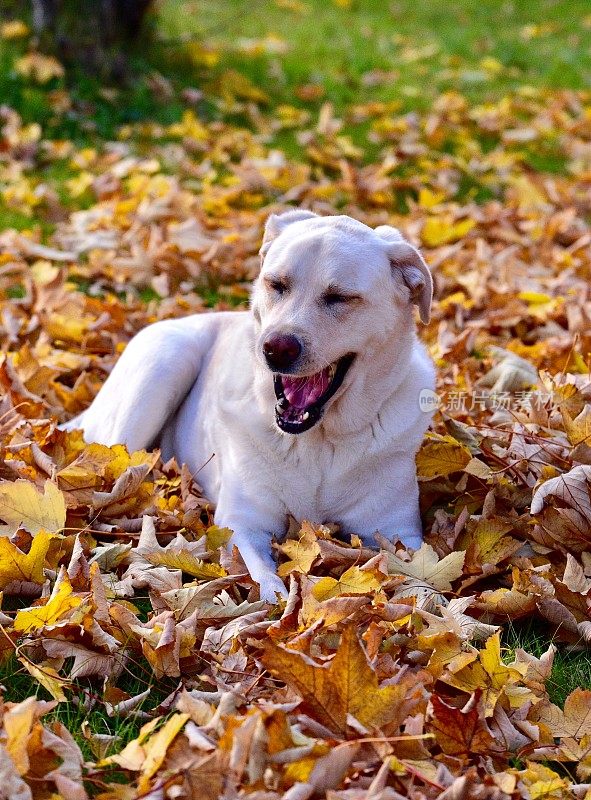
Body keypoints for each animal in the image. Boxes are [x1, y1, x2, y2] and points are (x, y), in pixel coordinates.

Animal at [67, 212, 438, 600]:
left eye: (339, 297)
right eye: (277, 284)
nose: (275, 348)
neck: (318, 442)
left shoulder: (398, 532)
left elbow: (423, 584)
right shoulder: (243, 524)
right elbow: (265, 580)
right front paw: (279, 602)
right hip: (163, 365)